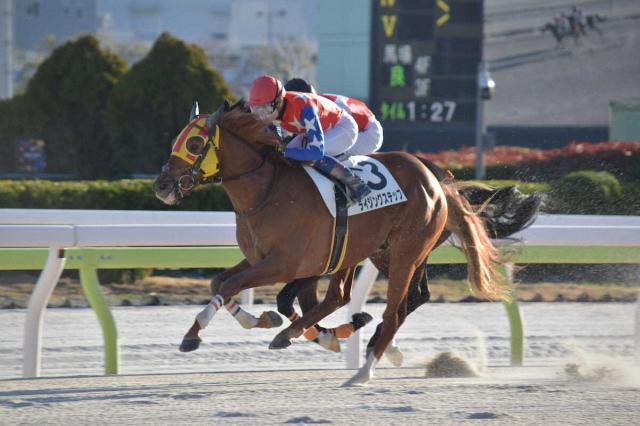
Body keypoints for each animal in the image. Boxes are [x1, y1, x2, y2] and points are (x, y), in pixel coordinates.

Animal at [153, 100, 507, 386]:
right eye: (174, 142)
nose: (161, 186)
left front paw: (193, 335)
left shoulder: (283, 264)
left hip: (405, 252)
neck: (267, 191)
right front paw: (260, 320)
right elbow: (219, 283)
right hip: (373, 251)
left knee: (391, 312)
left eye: (195, 143)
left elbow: (233, 285)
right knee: (355, 298)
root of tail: (434, 177)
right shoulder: (260, 259)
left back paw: (361, 372)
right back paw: (329, 338)